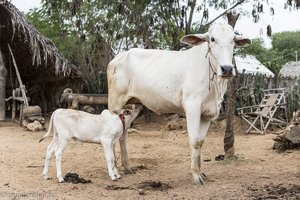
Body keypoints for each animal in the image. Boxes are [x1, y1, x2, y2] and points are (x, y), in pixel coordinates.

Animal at [106, 23, 250, 184]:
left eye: (233, 40)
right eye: (212, 39)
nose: (227, 69)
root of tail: (117, 58)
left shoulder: (207, 114)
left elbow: (201, 142)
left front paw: (201, 172)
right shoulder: (192, 108)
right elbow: (194, 141)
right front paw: (195, 175)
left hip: (134, 105)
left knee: (123, 133)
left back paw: (127, 167)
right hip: (115, 103)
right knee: (115, 134)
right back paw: (115, 169)